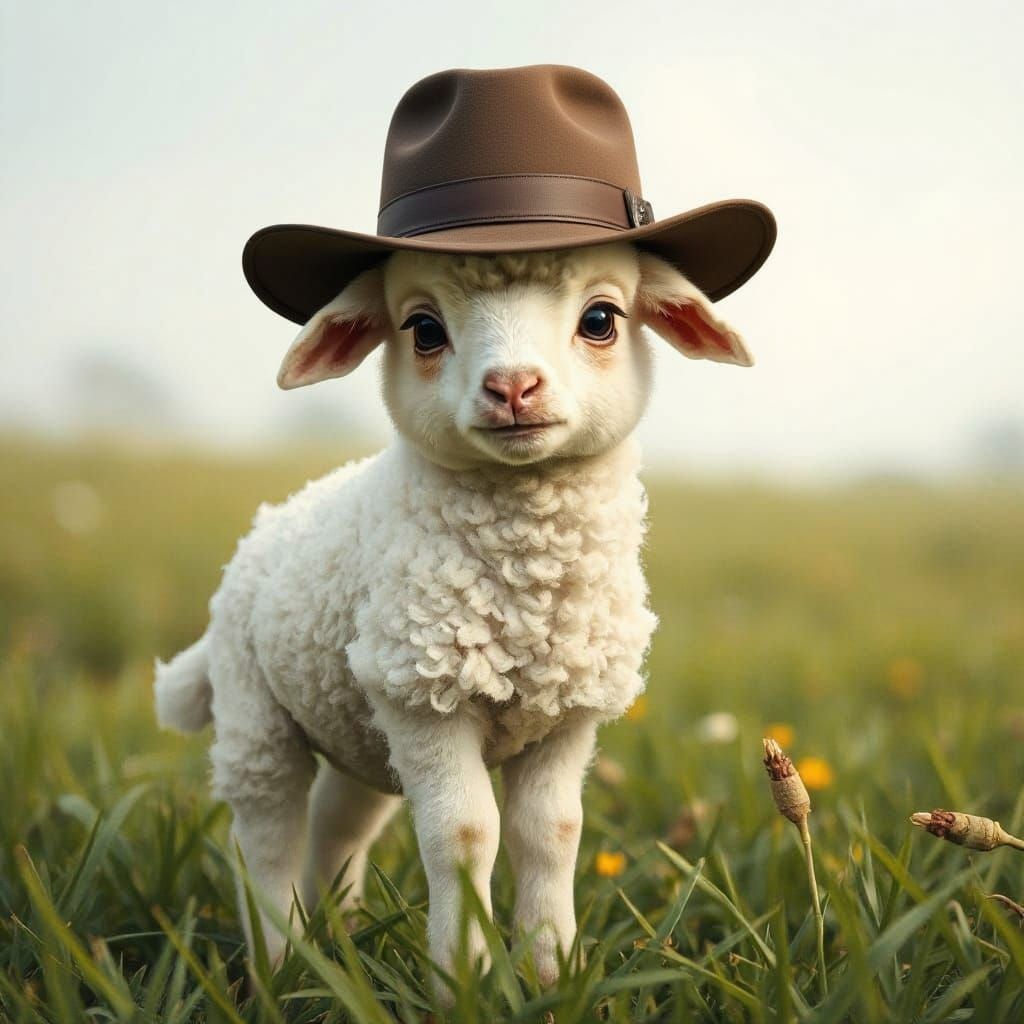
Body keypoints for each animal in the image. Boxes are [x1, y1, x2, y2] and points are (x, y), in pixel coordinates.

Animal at [154, 240, 753, 991]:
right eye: (424, 329)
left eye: (601, 320)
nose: (513, 387)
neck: (528, 587)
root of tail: (266, 524)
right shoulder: (422, 694)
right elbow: (464, 834)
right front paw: (463, 978)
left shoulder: (570, 709)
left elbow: (551, 833)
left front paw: (551, 971)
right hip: (254, 708)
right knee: (267, 831)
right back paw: (280, 962)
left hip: (359, 729)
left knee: (339, 821)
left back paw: (339, 935)